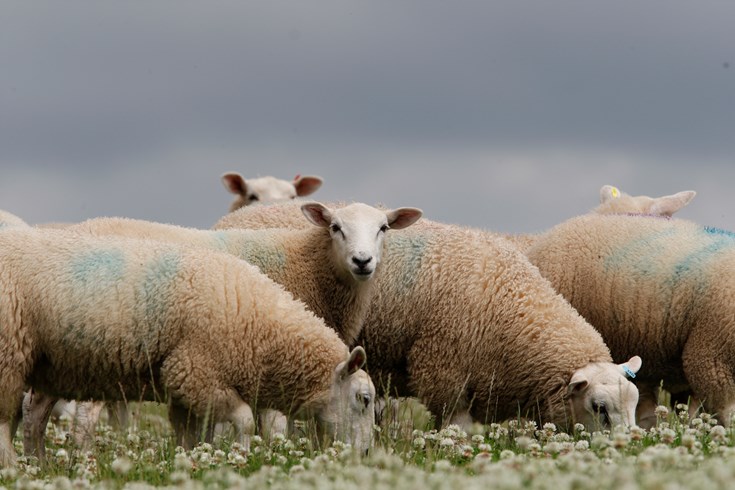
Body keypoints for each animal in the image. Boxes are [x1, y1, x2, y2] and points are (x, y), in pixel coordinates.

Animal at [23, 202, 420, 452]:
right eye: (336, 227)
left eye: (383, 228)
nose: (362, 261)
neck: (309, 265)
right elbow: (273, 424)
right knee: (83, 418)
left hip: (63, 354)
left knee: (38, 407)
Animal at [214, 203, 642, 430]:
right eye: (599, 408)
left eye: (635, 403)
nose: (626, 449)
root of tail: (238, 214)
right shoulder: (444, 374)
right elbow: (458, 432)